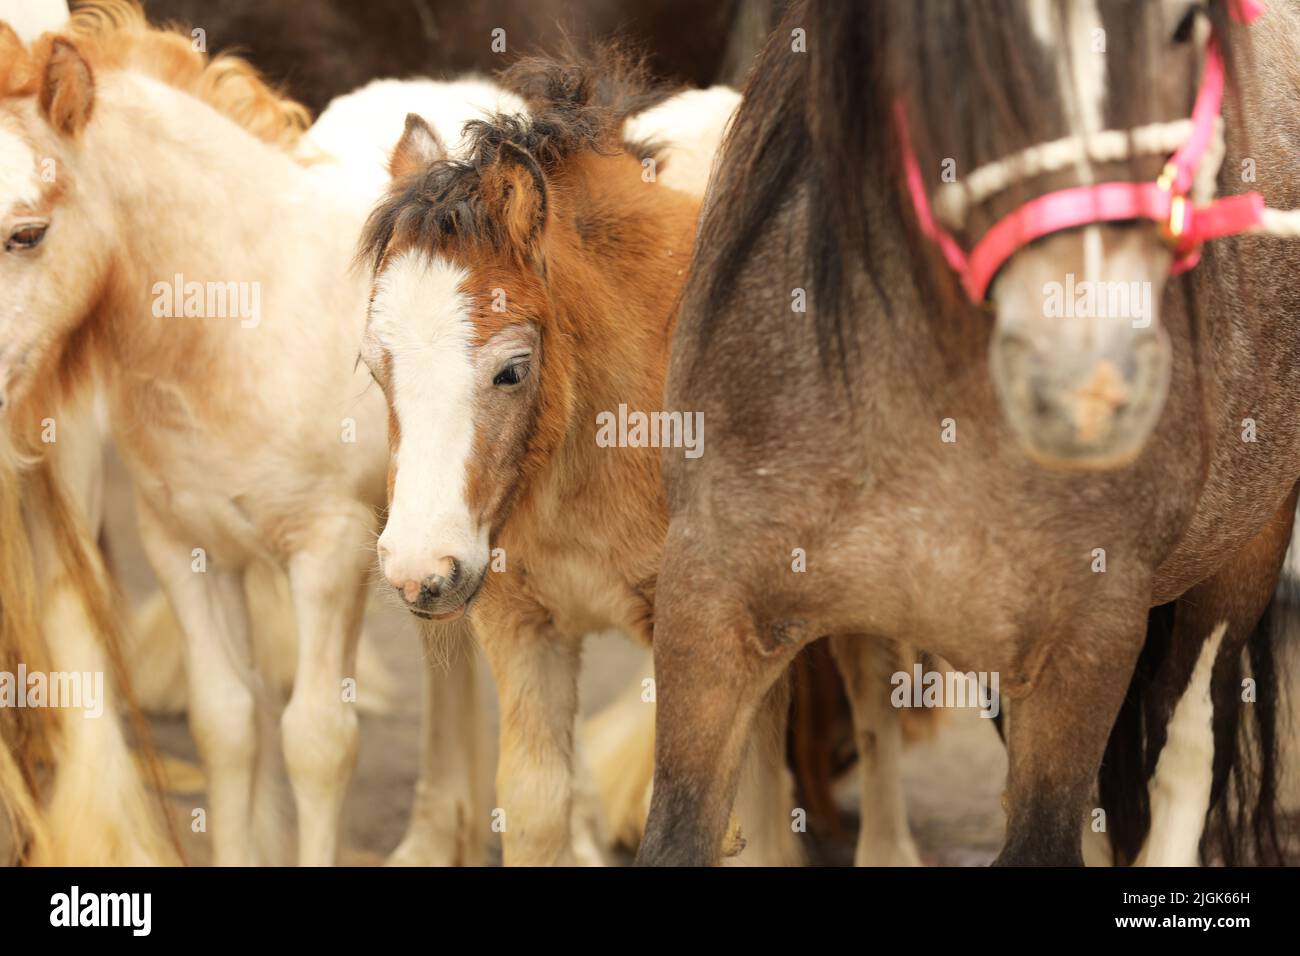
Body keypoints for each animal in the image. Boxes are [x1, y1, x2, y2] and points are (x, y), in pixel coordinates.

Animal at [639, 0, 1300, 868]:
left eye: (1188, 23)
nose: (1089, 381)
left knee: (1189, 747)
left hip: (1245, 553)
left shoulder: (1087, 646)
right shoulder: (711, 605)